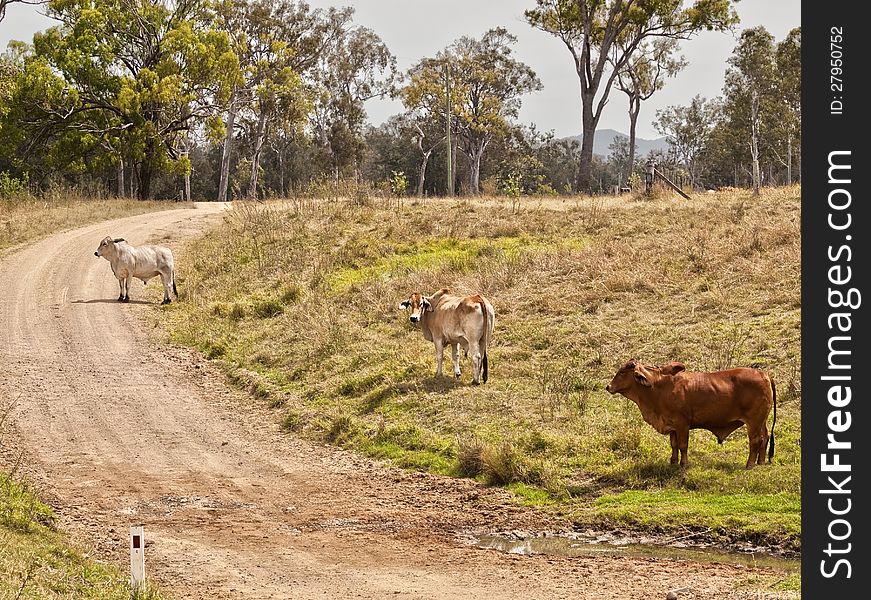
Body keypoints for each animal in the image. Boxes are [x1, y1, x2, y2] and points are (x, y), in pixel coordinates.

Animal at [608, 356, 776, 468]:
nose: (608, 387)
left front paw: (683, 464)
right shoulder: (672, 426)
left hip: (754, 421)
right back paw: (761, 463)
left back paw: (750, 465)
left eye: (622, 372)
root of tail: (765, 374)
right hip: (762, 421)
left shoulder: (682, 424)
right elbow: (674, 445)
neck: (658, 387)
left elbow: (683, 445)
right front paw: (673, 462)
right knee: (765, 437)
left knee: (755, 441)